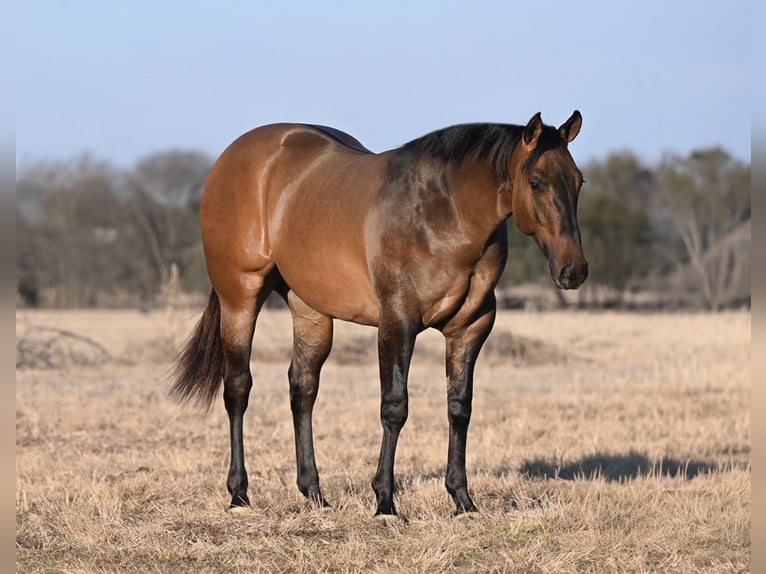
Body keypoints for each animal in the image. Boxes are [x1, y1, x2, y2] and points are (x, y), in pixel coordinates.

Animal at [171, 111, 588, 517]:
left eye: (578, 181)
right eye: (536, 182)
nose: (574, 270)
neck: (446, 214)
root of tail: (233, 157)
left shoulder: (470, 328)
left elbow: (459, 407)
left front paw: (463, 500)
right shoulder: (397, 322)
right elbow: (394, 407)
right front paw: (385, 502)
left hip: (310, 310)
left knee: (303, 388)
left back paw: (314, 495)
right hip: (240, 298)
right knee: (238, 388)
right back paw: (239, 494)